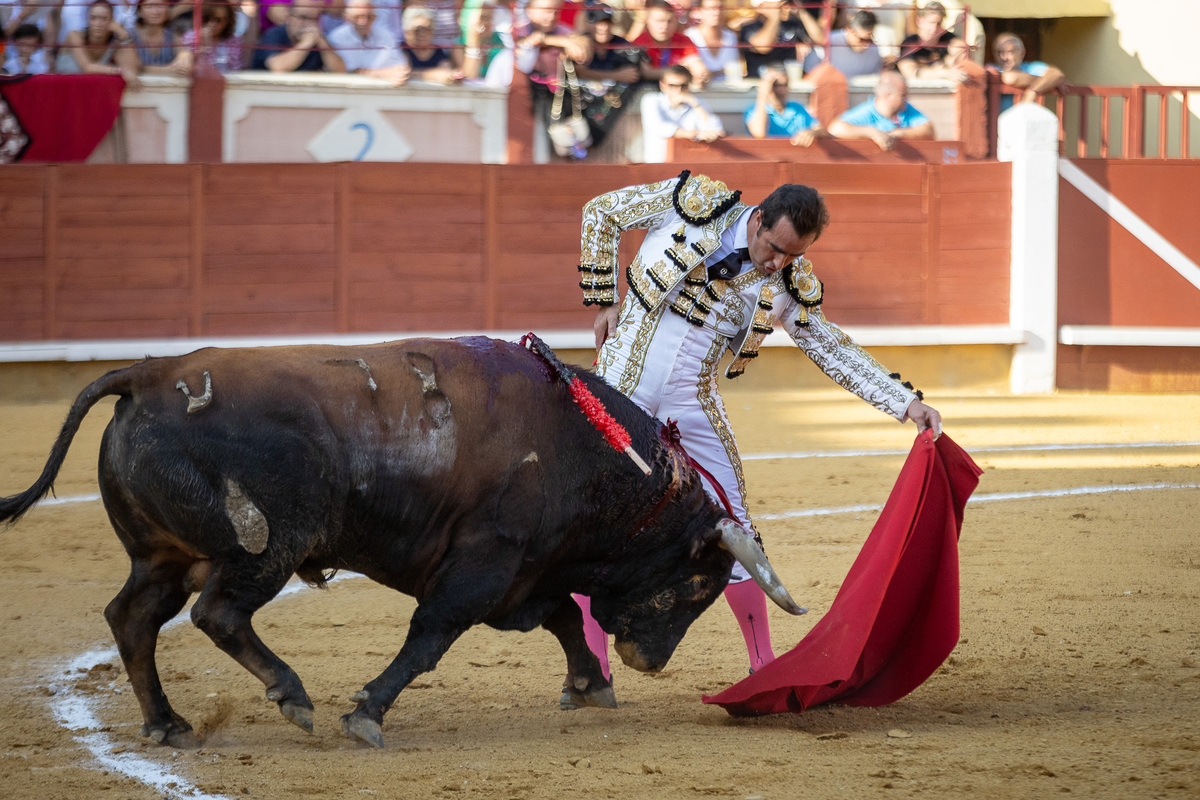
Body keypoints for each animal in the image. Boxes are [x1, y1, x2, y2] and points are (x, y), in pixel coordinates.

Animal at [2, 338, 806, 753]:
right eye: (699, 584)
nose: (650, 661)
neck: (588, 450)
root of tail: (147, 373)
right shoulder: (484, 564)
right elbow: (430, 639)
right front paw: (366, 713)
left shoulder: (526, 569)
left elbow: (561, 619)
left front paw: (590, 685)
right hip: (264, 547)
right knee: (218, 614)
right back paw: (291, 696)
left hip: (164, 556)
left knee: (133, 618)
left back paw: (168, 725)